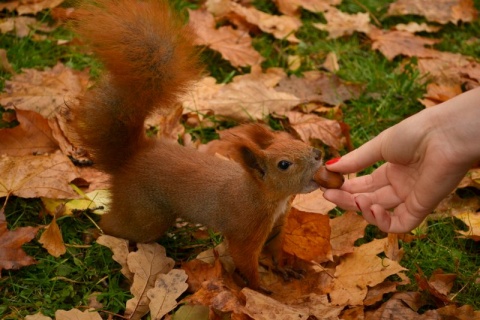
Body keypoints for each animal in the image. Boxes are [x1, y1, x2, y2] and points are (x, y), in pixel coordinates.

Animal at [69, 0, 324, 290]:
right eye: (284, 164)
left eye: (295, 140)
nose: (318, 154)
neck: (264, 196)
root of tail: (131, 157)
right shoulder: (246, 229)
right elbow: (246, 260)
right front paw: (260, 289)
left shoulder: (277, 226)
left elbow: (275, 251)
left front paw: (284, 270)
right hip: (145, 213)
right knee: (115, 224)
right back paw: (93, 234)